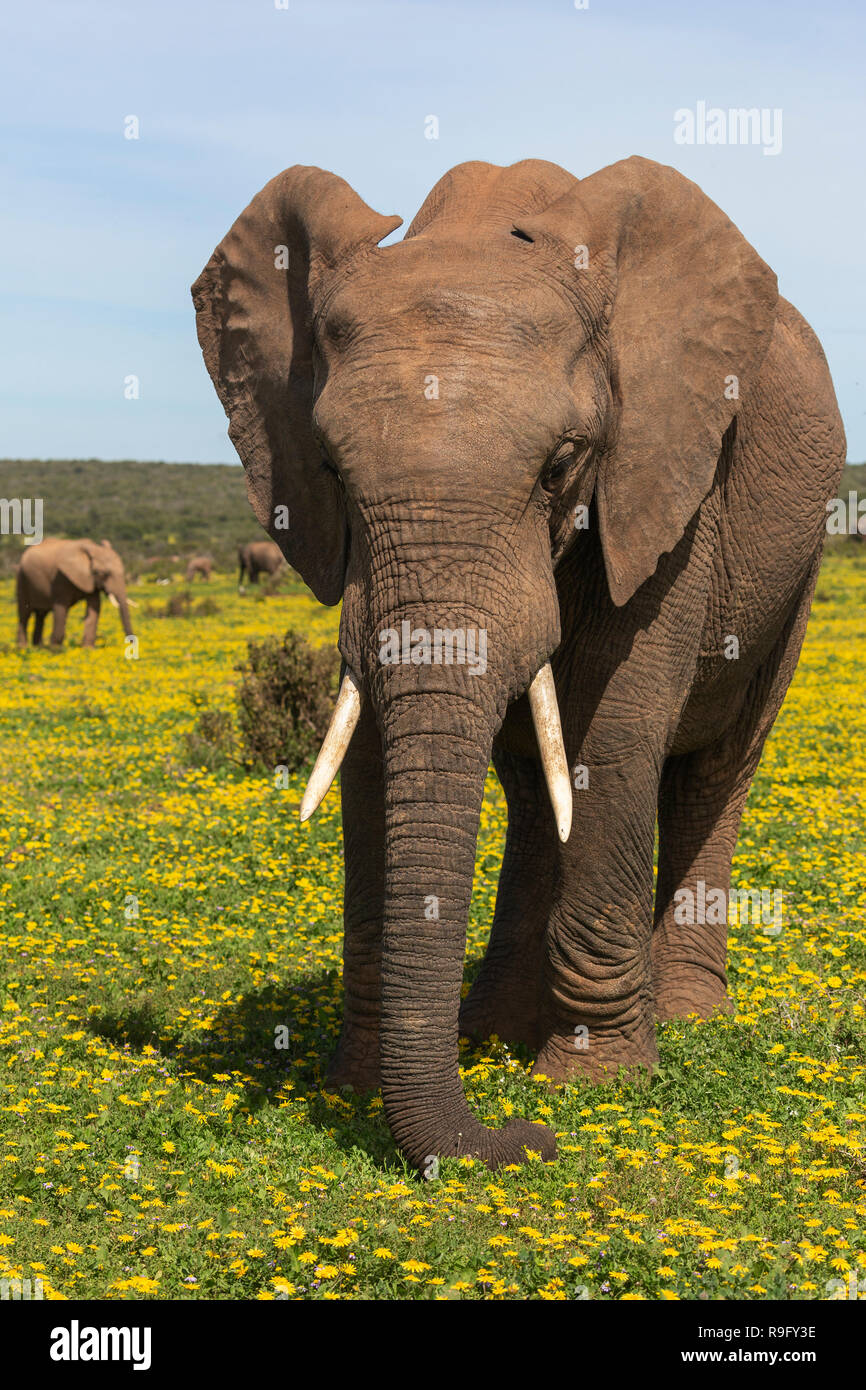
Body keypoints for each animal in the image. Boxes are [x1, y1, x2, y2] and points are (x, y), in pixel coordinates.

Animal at [193, 156, 846, 1174]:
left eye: (560, 466)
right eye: (332, 471)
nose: (524, 1143)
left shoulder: (667, 478)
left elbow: (614, 731)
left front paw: (594, 1086)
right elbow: (370, 750)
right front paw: (359, 1085)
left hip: (803, 560)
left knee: (718, 767)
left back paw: (685, 1019)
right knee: (537, 787)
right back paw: (498, 1029)